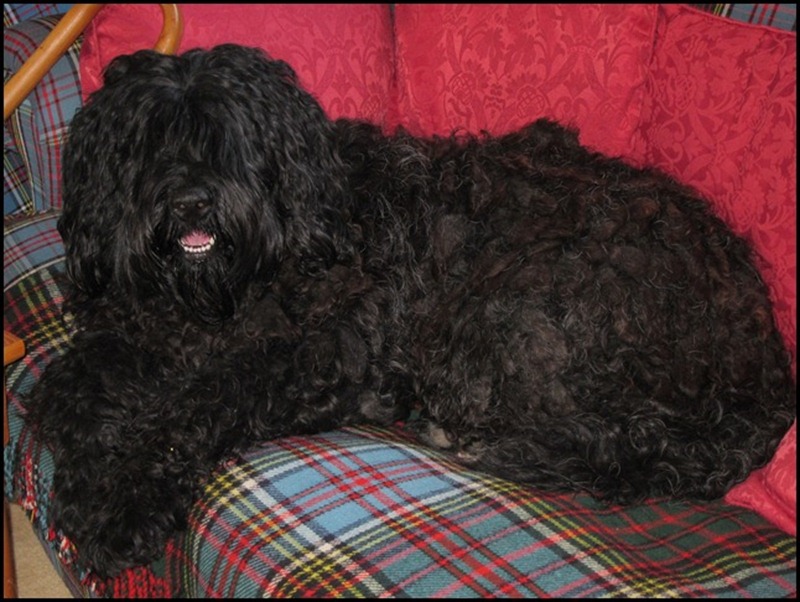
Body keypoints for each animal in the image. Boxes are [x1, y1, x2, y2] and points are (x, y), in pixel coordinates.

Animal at [25, 44, 792, 576]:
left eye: (231, 142)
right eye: (145, 145)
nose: (189, 203)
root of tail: (768, 375)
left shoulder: (319, 353)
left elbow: (195, 405)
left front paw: (123, 501)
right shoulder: (134, 335)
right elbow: (68, 393)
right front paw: (92, 471)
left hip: (503, 314)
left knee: (610, 438)